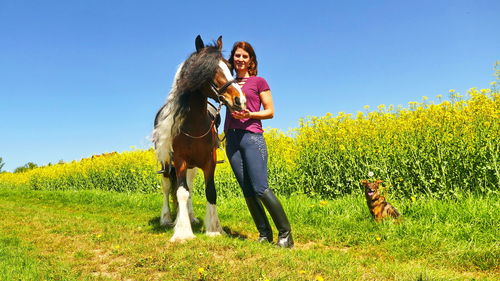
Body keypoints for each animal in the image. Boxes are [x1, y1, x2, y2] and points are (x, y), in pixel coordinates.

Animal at [152, 35, 246, 241]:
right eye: (207, 70)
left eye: (230, 66)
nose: (239, 100)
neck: (193, 125)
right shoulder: (179, 161)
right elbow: (180, 192)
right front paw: (182, 232)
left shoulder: (209, 161)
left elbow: (209, 192)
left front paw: (214, 229)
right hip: (166, 163)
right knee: (167, 187)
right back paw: (167, 218)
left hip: (192, 167)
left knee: (189, 186)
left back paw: (190, 216)